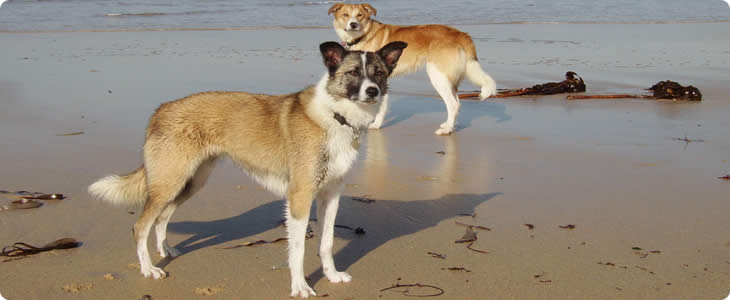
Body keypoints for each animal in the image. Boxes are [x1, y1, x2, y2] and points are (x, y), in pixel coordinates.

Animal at [88, 40, 406, 298]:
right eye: (353, 72)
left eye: (378, 72)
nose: (373, 91)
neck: (335, 115)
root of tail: (161, 109)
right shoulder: (300, 197)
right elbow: (298, 249)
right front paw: (300, 286)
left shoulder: (331, 196)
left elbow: (326, 243)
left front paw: (331, 275)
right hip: (171, 181)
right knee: (141, 225)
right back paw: (148, 269)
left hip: (190, 182)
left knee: (162, 217)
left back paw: (165, 250)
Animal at [328, 3, 494, 135]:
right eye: (345, 15)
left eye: (360, 15)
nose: (353, 24)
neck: (364, 34)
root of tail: (460, 33)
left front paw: (375, 125)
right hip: (448, 78)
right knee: (456, 103)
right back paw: (448, 125)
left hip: (438, 76)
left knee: (453, 104)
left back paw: (446, 130)